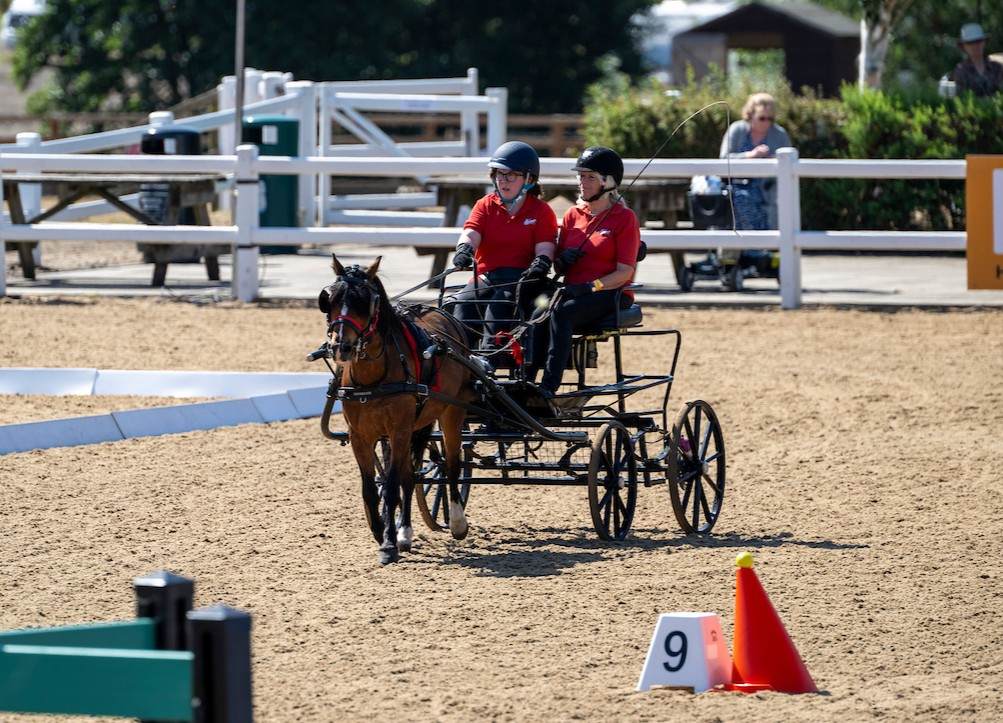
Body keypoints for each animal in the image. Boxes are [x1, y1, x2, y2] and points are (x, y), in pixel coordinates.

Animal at [318, 254, 475, 565]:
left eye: (365, 301)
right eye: (329, 299)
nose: (341, 346)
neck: (372, 378)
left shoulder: (399, 430)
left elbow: (390, 488)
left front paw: (388, 544)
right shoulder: (360, 436)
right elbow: (371, 489)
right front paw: (382, 532)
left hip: (451, 413)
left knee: (451, 464)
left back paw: (456, 522)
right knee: (410, 474)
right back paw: (405, 532)